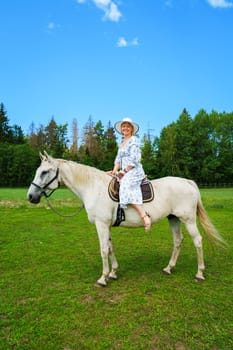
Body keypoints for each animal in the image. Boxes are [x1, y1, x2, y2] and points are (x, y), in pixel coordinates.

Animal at [26, 152, 225, 286]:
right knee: (178, 240)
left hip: (188, 219)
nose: (31, 196)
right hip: (173, 218)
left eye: (44, 172)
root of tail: (187, 182)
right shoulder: (107, 225)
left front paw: (103, 278)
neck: (93, 187)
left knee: (198, 241)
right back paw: (169, 268)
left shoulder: (101, 225)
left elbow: (103, 250)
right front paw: (113, 273)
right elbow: (110, 247)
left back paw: (199, 273)